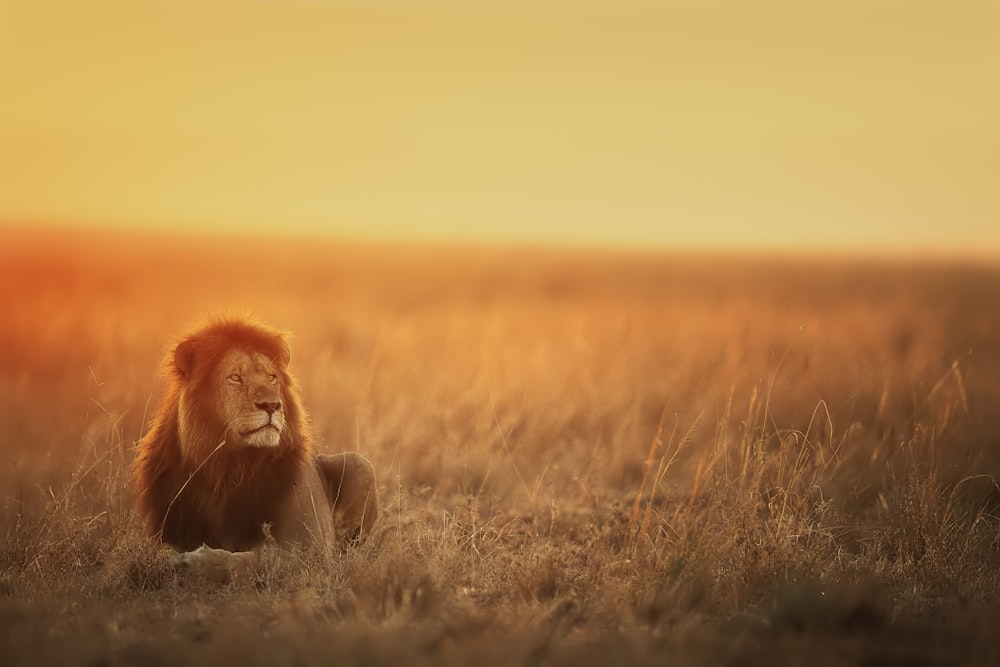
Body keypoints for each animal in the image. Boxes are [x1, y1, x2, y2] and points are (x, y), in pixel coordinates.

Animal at [133, 316, 378, 576]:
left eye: (272, 377)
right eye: (235, 378)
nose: (271, 405)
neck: (229, 466)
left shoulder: (309, 548)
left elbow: (256, 559)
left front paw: (198, 563)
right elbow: (157, 552)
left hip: (361, 465)